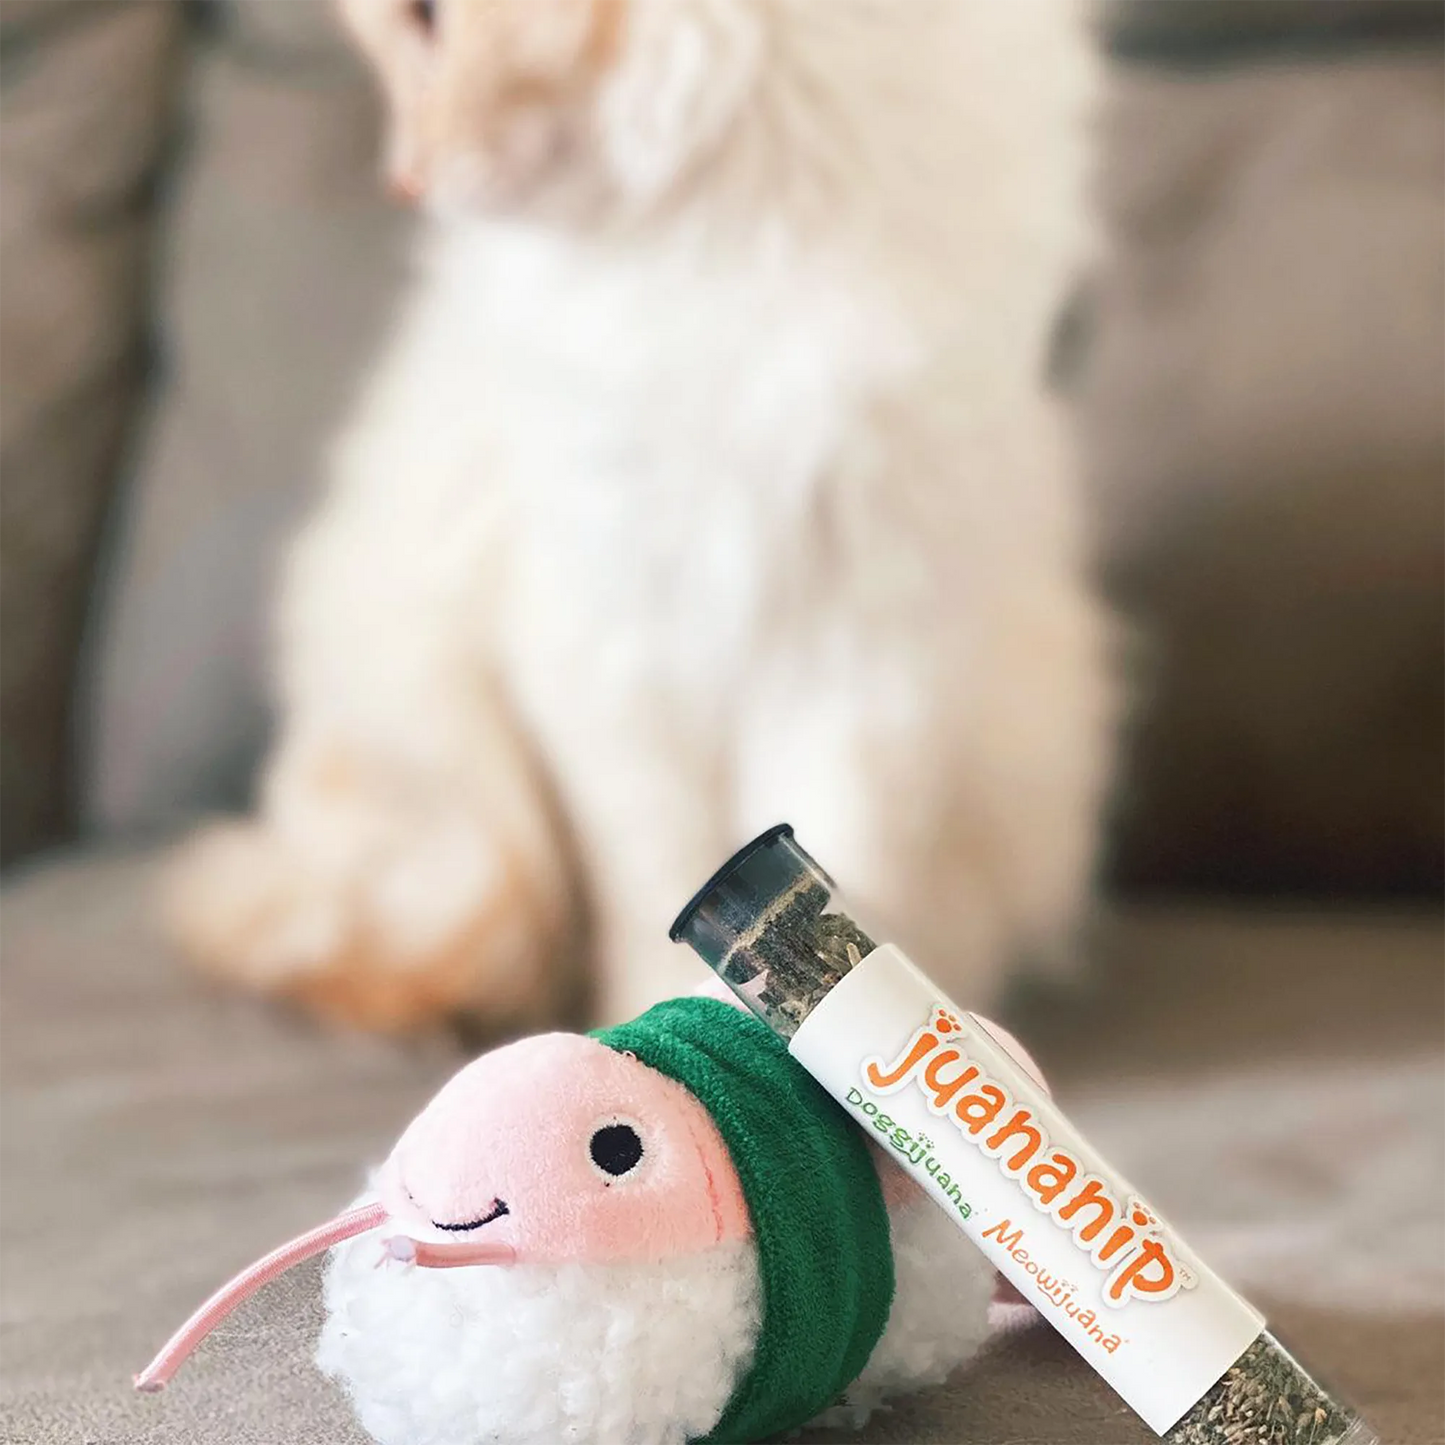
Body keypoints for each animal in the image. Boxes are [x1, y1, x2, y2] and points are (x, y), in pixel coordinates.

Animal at [166, 0, 1115, 1028]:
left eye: (428, 22)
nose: (406, 182)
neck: (738, 211)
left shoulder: (873, 621)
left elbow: (841, 855)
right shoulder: (610, 616)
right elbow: (659, 874)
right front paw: (674, 1024)